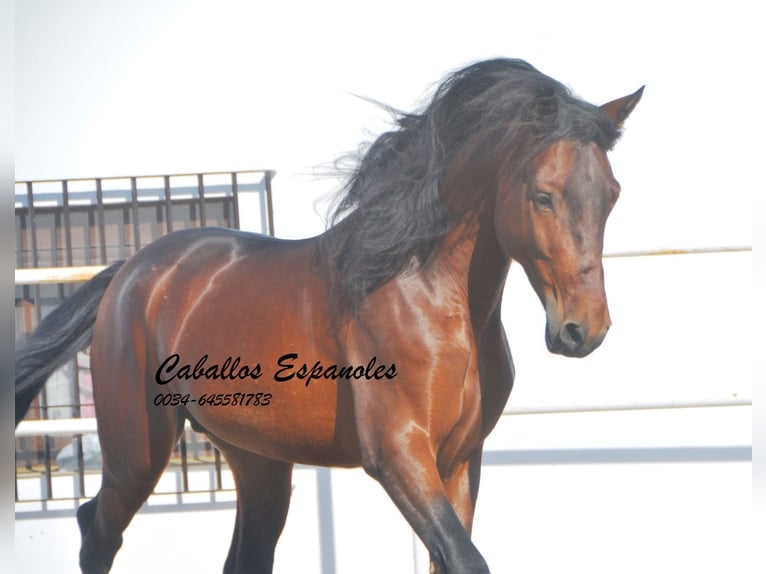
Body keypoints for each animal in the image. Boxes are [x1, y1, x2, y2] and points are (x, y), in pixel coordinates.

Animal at [15, 58, 644, 574]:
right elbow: (467, 559)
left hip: (259, 461)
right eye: (543, 196)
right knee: (97, 530)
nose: (583, 330)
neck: (428, 294)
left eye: (613, 193)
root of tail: (132, 272)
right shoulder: (397, 453)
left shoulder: (461, 459)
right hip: (137, 450)